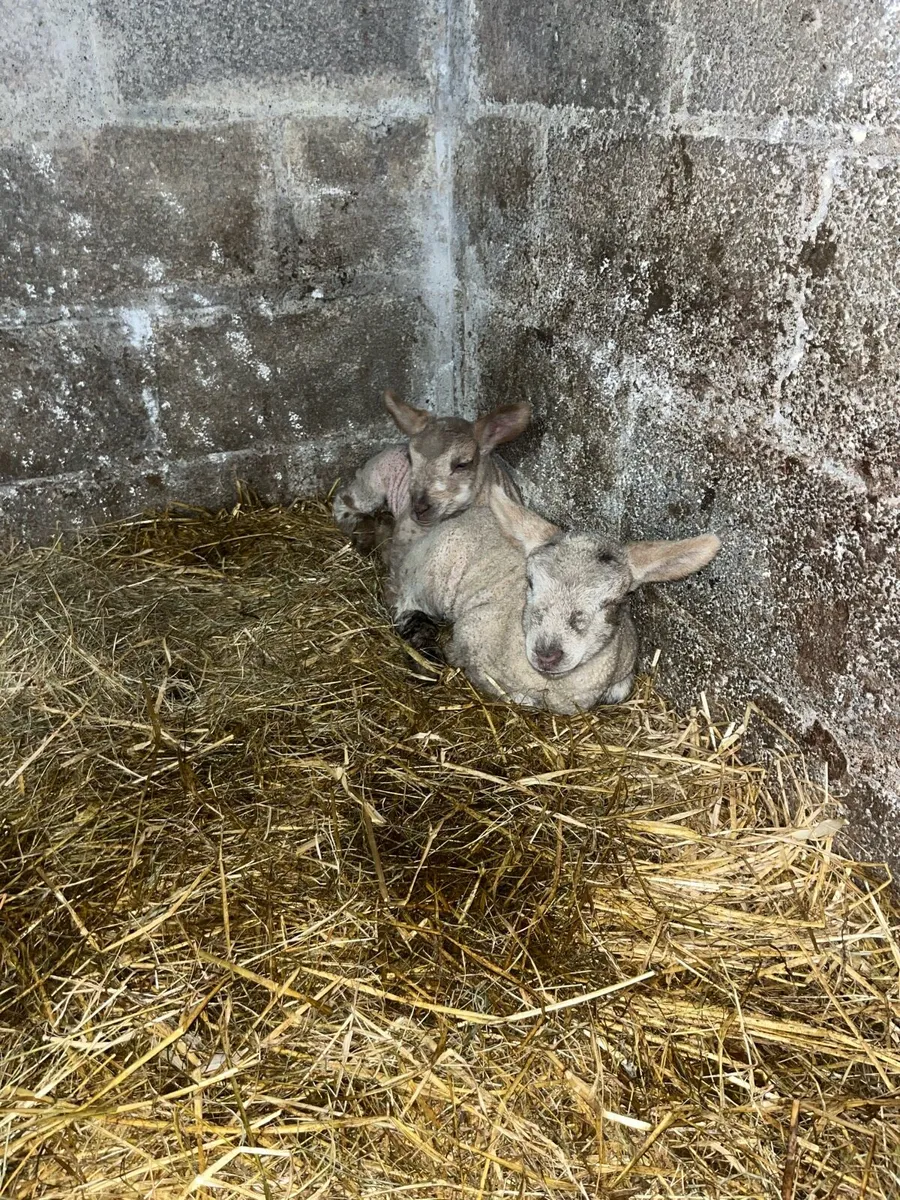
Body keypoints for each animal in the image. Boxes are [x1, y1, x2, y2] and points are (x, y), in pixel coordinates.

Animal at [389, 485, 722, 713]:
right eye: (530, 582)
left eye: (612, 602)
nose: (547, 654)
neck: (553, 686)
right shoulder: (470, 639)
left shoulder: (621, 678)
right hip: (430, 575)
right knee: (403, 601)